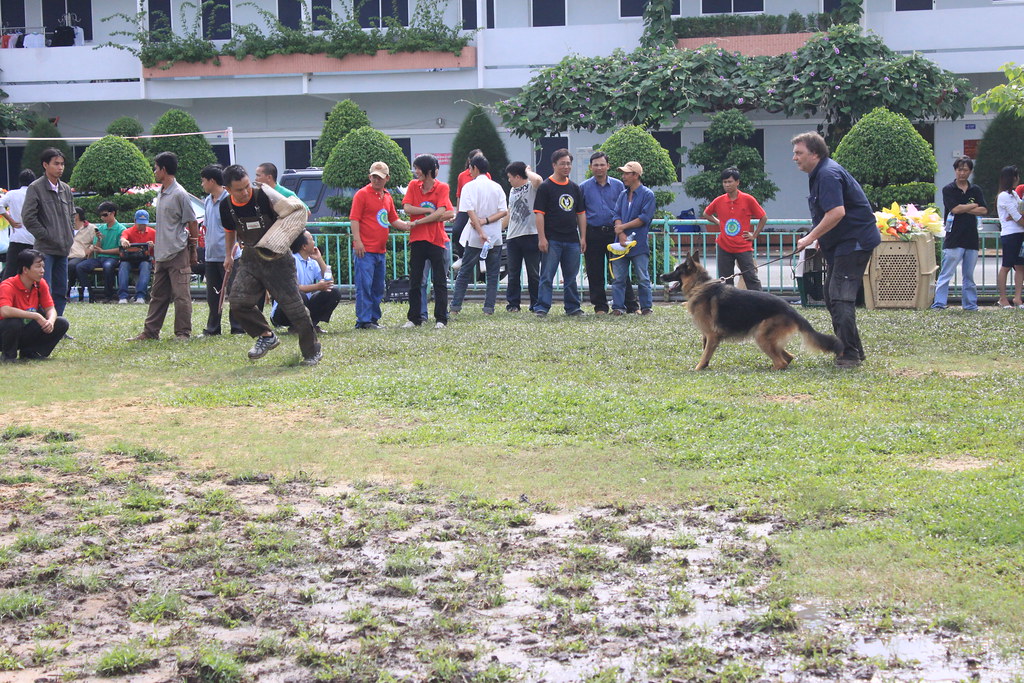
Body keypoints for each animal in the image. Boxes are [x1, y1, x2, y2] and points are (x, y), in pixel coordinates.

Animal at [663, 249, 839, 370]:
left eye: (677, 270)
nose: (661, 276)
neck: (699, 285)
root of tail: (792, 311)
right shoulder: (707, 336)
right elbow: (705, 354)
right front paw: (704, 366)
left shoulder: (712, 336)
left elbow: (704, 354)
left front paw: (698, 368)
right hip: (767, 338)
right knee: (789, 357)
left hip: (761, 336)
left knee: (782, 362)